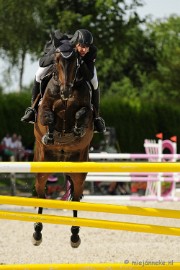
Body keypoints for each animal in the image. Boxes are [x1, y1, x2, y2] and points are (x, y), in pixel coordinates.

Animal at [32, 41, 94, 248]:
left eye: (76, 61)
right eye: (57, 59)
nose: (66, 92)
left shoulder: (86, 109)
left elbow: (82, 112)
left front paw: (77, 130)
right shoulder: (44, 108)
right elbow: (48, 115)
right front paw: (50, 136)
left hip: (78, 170)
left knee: (75, 198)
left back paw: (74, 235)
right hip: (42, 167)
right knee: (42, 195)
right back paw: (37, 232)